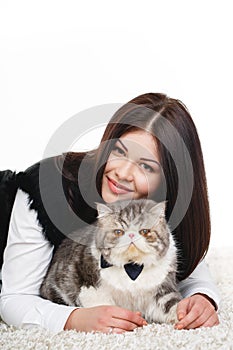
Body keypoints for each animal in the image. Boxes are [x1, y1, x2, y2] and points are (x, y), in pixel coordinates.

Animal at [40, 198, 182, 324]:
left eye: (145, 231)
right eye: (119, 232)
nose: (131, 235)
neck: (131, 267)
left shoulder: (161, 290)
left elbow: (172, 305)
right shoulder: (88, 283)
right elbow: (101, 304)